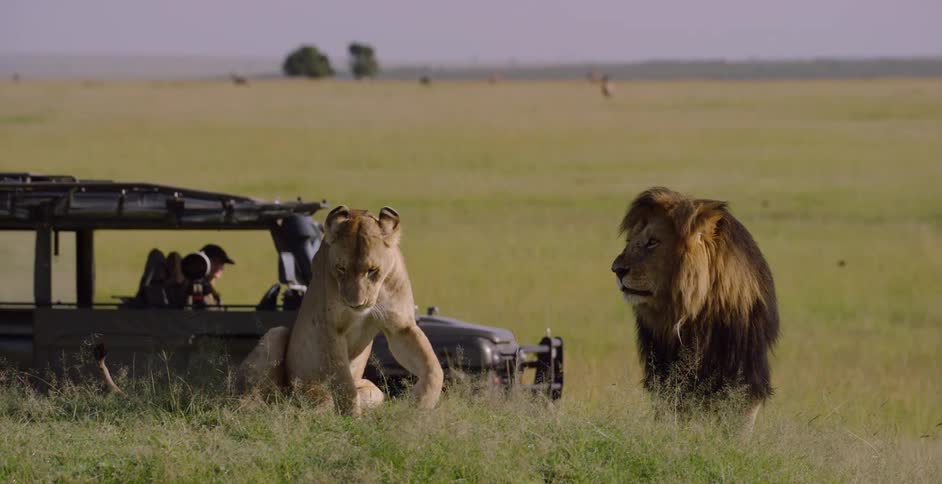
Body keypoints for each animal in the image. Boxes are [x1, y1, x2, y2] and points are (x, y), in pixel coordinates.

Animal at [611, 187, 779, 434]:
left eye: (652, 242)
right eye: (629, 241)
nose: (616, 269)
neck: (695, 315)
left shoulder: (746, 373)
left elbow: (739, 426)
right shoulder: (666, 376)